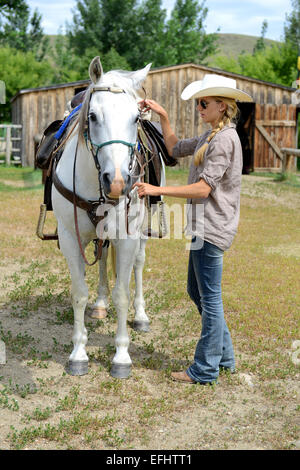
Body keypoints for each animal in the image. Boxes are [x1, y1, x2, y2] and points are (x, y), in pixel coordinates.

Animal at [51, 57, 154, 378]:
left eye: (136, 119)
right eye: (93, 116)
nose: (117, 183)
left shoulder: (128, 237)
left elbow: (122, 293)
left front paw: (121, 356)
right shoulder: (69, 238)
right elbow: (79, 293)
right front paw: (78, 353)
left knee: (138, 265)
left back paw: (141, 315)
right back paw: (99, 304)